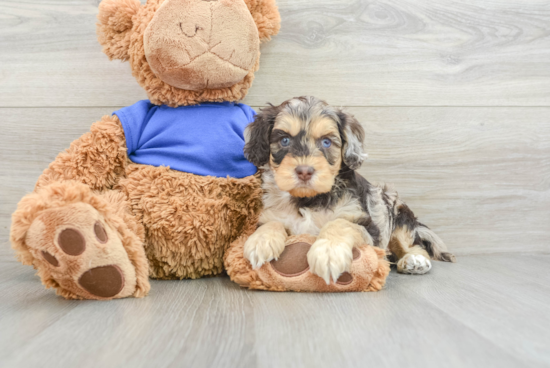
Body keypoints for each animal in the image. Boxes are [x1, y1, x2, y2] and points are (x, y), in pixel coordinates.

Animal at [244, 96, 454, 284]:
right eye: (285, 140)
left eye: (326, 142)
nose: (304, 171)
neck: (308, 199)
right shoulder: (271, 214)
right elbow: (271, 223)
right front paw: (260, 241)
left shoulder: (369, 227)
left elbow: (340, 223)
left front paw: (328, 253)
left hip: (396, 211)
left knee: (412, 244)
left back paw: (414, 260)